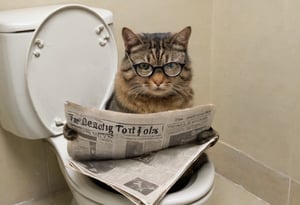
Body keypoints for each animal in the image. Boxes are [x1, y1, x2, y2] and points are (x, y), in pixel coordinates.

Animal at [63, 26, 218, 192]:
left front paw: (208, 135)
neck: (156, 105)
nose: (158, 82)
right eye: (144, 66)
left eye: (170, 66)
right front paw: (69, 130)